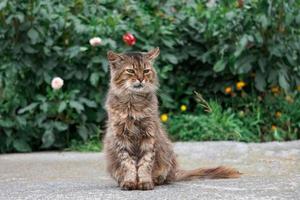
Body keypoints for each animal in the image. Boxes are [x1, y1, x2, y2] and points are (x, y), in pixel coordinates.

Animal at [103, 47, 241, 191]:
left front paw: (145, 182)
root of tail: (174, 173)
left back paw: (155, 180)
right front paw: (129, 182)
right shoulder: (121, 137)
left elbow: (145, 162)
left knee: (163, 177)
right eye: (131, 71)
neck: (133, 103)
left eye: (146, 71)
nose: (141, 79)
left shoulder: (149, 135)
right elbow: (128, 164)